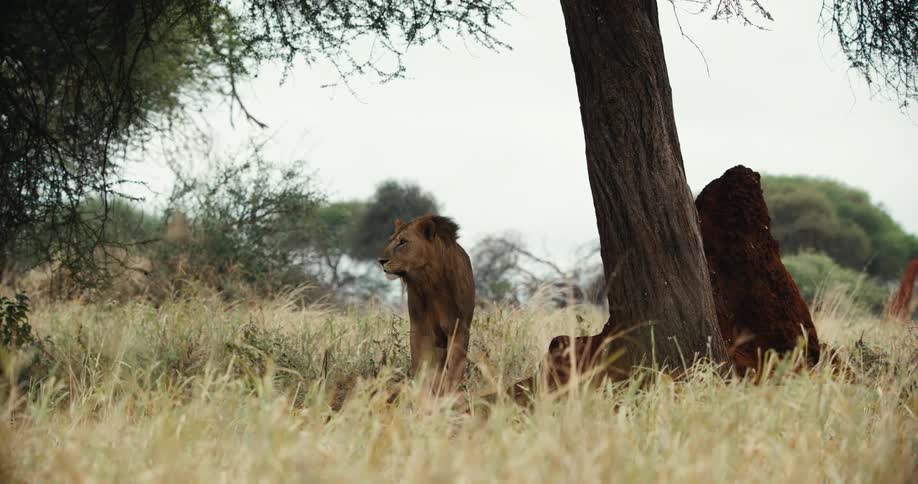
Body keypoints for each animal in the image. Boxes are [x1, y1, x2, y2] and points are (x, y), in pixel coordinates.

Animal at [378, 214, 475, 394]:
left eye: (403, 242)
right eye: (390, 240)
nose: (381, 261)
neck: (431, 280)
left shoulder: (458, 327)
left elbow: (455, 366)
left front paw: (450, 394)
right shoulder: (420, 328)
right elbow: (421, 365)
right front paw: (424, 393)